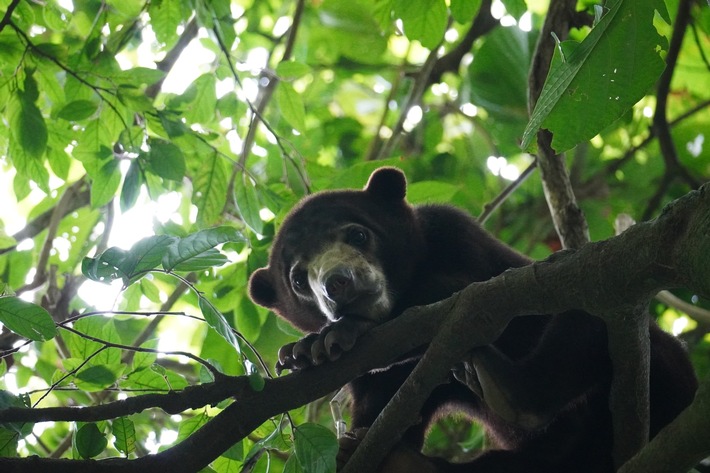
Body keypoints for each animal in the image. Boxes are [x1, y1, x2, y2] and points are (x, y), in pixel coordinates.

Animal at [250, 165, 700, 468]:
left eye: (358, 234)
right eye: (299, 279)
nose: (337, 283)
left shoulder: (456, 232)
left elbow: (461, 292)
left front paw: (326, 340)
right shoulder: (369, 383)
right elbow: (382, 413)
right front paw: (307, 352)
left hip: (662, 368)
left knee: (586, 309)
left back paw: (510, 390)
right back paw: (404, 463)